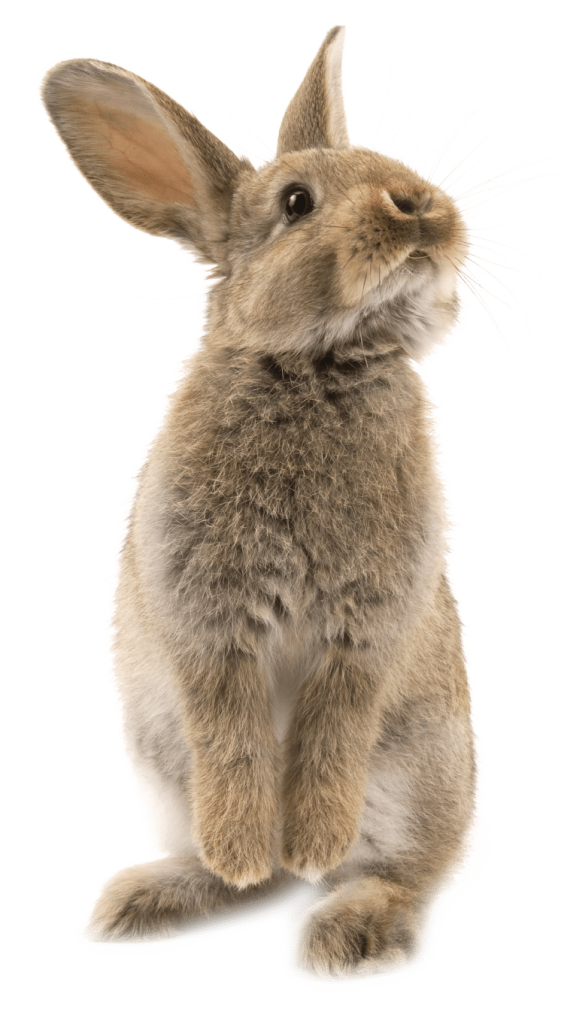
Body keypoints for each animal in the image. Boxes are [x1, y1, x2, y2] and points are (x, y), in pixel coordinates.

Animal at [37, 23, 493, 985]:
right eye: (295, 201)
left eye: (390, 165)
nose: (418, 207)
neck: (316, 368)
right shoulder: (208, 626)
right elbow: (234, 738)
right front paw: (247, 846)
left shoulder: (365, 627)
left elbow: (331, 729)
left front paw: (313, 839)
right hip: (164, 760)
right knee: (263, 875)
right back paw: (166, 897)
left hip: (417, 770)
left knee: (403, 872)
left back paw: (343, 926)